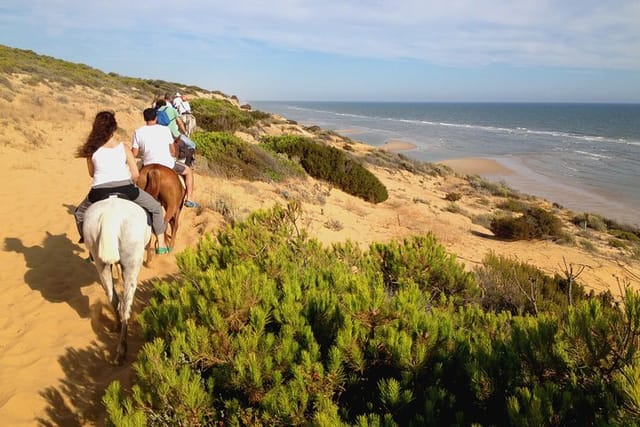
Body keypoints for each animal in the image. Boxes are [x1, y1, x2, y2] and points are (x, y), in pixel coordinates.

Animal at [82, 197, 151, 364]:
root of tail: (110, 216)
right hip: (132, 264)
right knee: (126, 304)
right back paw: (122, 349)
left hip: (100, 263)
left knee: (112, 297)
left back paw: (117, 328)